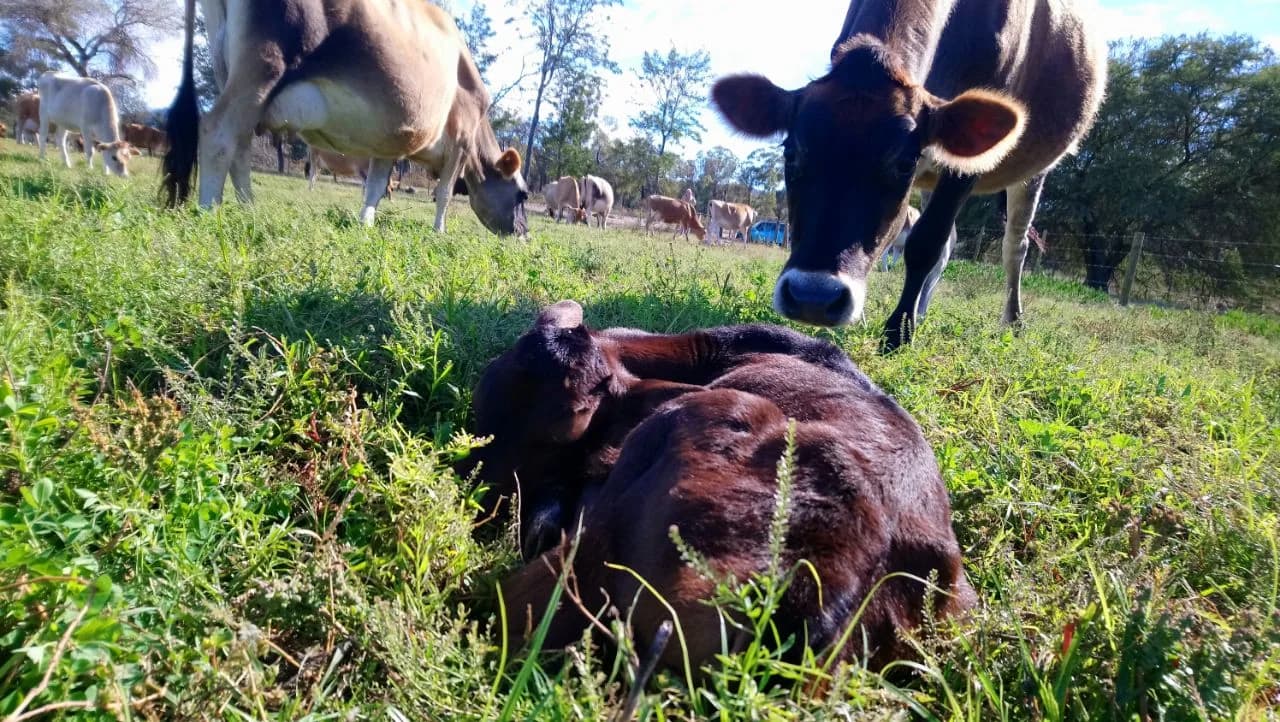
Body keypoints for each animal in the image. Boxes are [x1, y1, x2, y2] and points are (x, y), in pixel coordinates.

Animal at [161, 0, 529, 237]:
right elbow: (445, 193)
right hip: (263, 66)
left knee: (239, 148)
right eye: (522, 195)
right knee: (218, 133)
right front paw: (439, 231)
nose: (524, 233)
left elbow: (376, 187)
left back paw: (250, 208)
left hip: (229, 71)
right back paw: (208, 211)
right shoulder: (461, 141)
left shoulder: (391, 141)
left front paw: (365, 223)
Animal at [711, 0, 1106, 350]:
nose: (814, 297)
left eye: (904, 163)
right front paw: (891, 320)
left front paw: (897, 332)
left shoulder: (964, 168)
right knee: (951, 245)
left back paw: (1011, 321)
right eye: (790, 152)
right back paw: (922, 312)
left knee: (1014, 247)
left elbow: (924, 243)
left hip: (1035, 173)